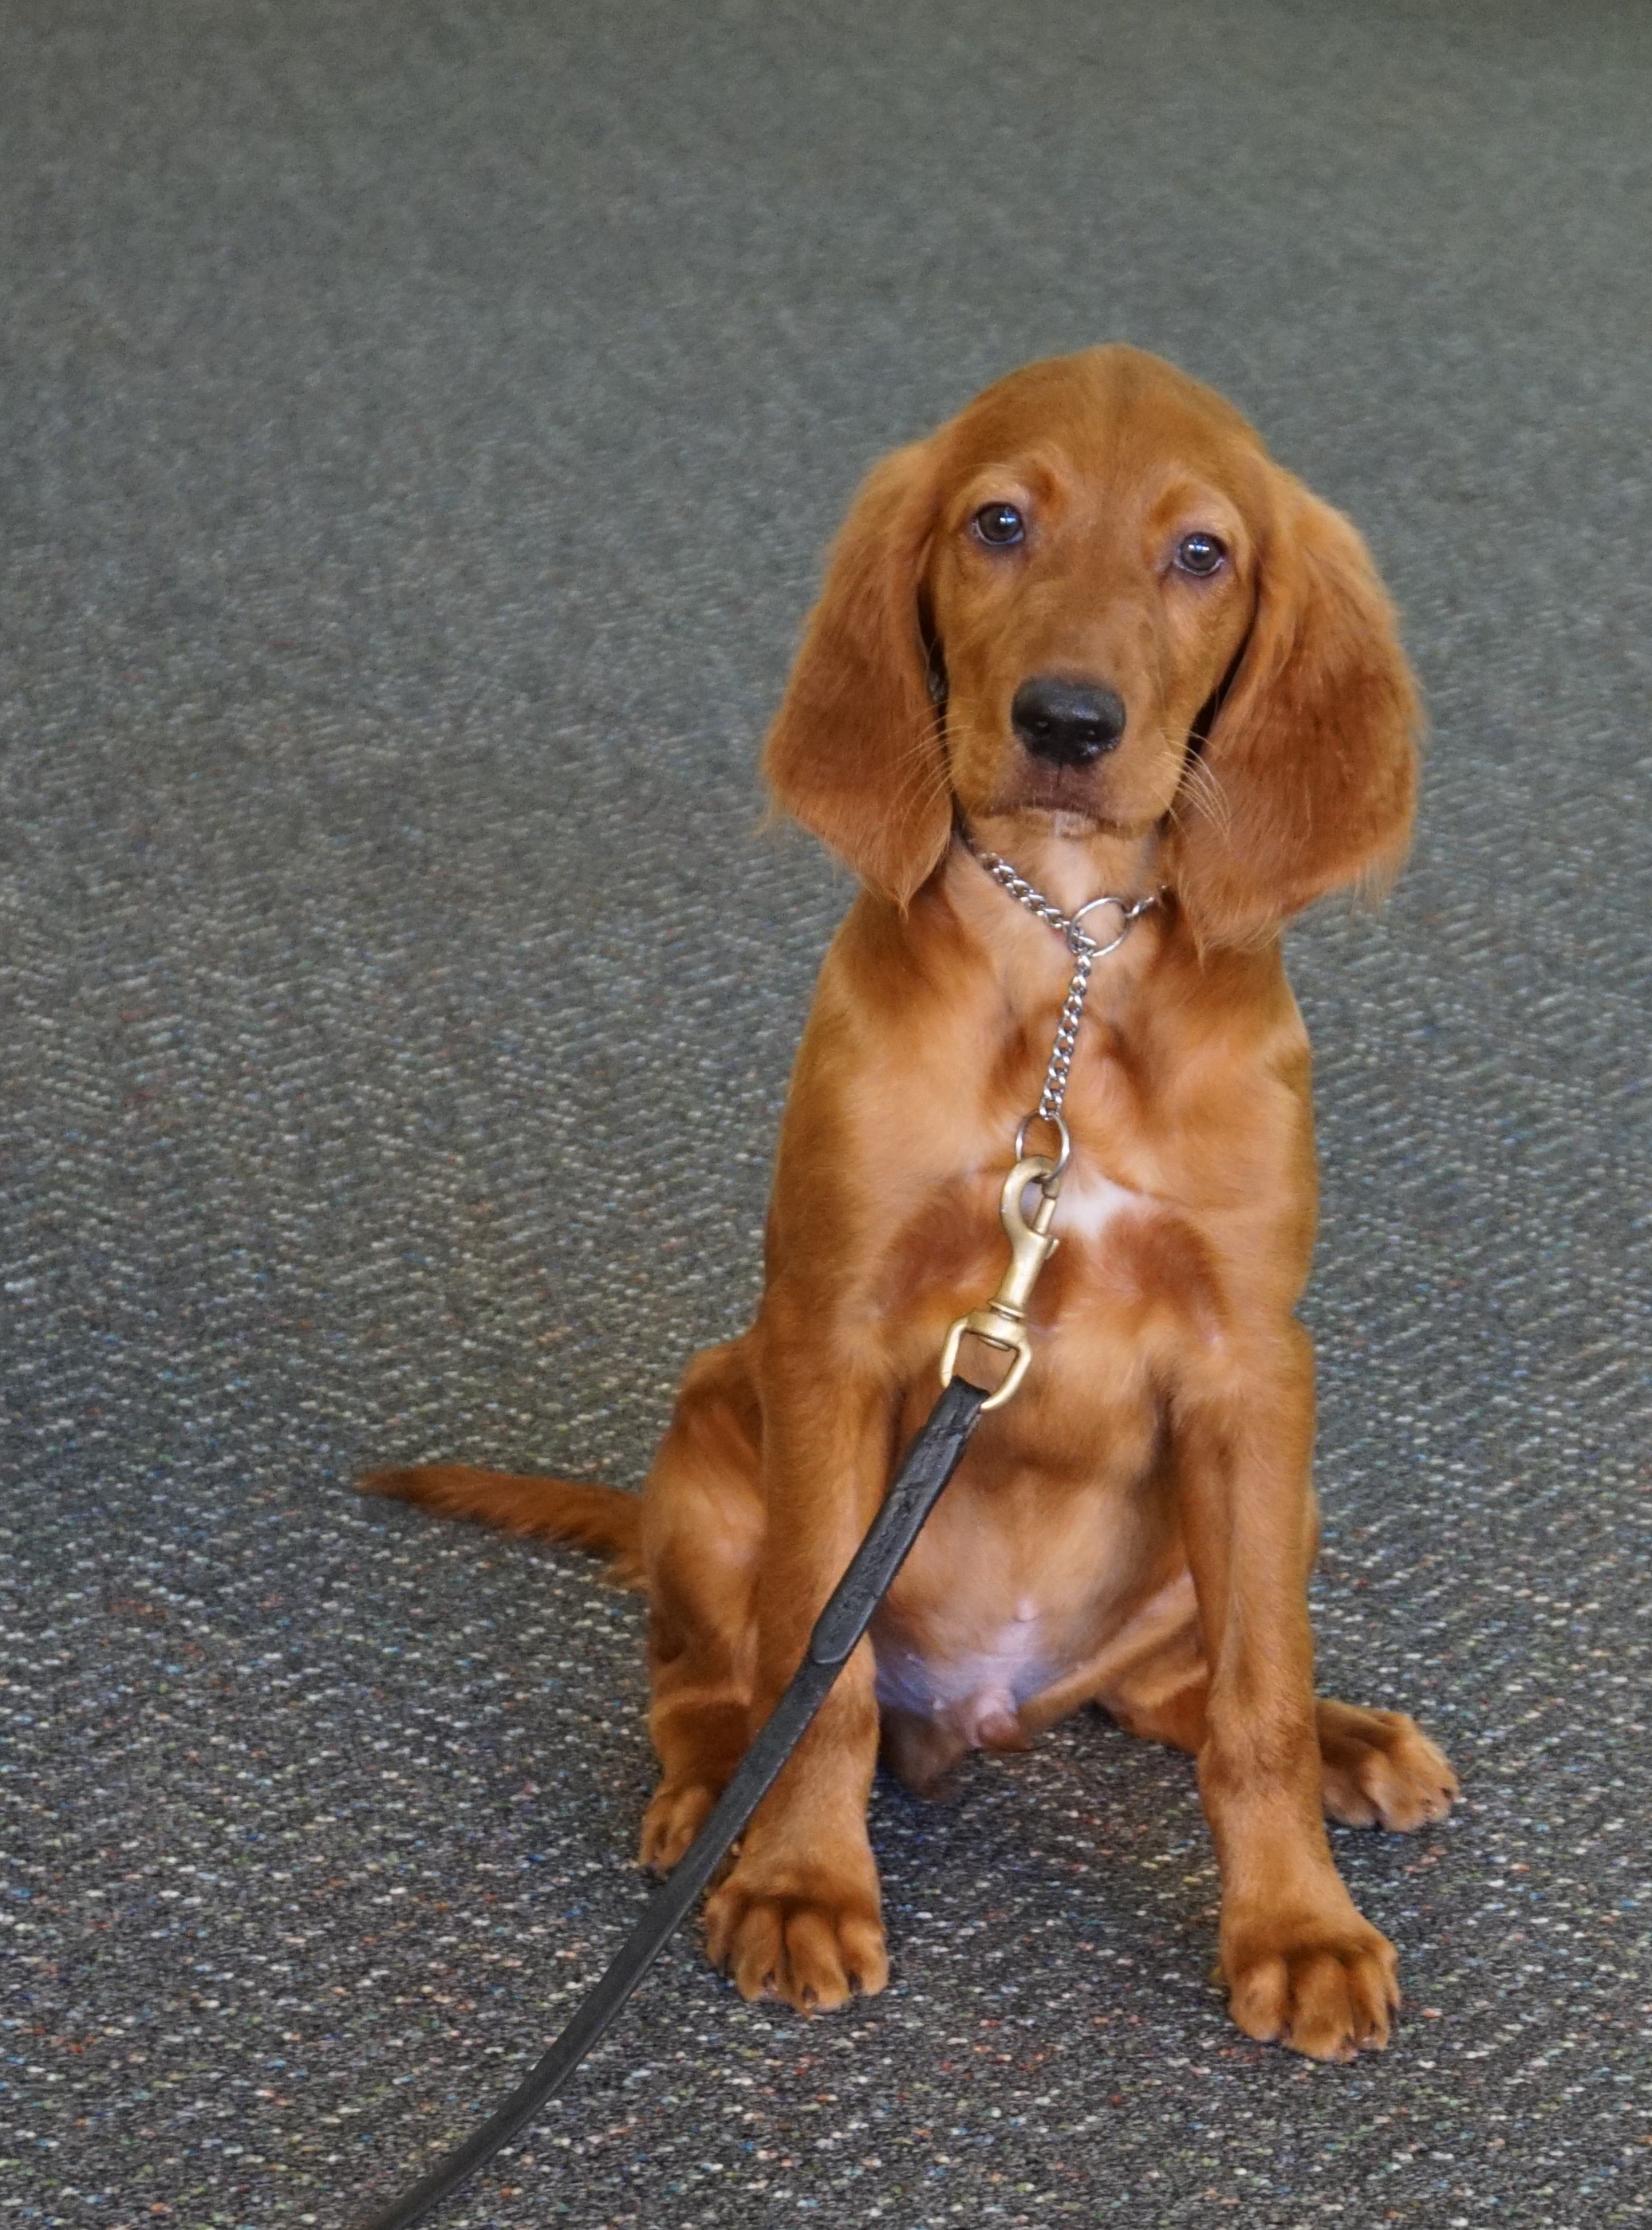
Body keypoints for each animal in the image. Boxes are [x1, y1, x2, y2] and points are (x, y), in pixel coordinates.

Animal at [368, 343, 1453, 2051]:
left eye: (1200, 553)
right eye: (999, 524)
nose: (1067, 721)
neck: (1067, 963)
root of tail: (993, 1713)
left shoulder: (1252, 1366)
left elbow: (1257, 1699)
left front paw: (1297, 1924)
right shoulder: (837, 1332)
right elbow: (824, 1667)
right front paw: (805, 1884)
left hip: (1275, 1500)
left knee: (1177, 1682)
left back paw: (1353, 1743)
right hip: (711, 1436)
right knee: (718, 1681)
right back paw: (713, 1807)